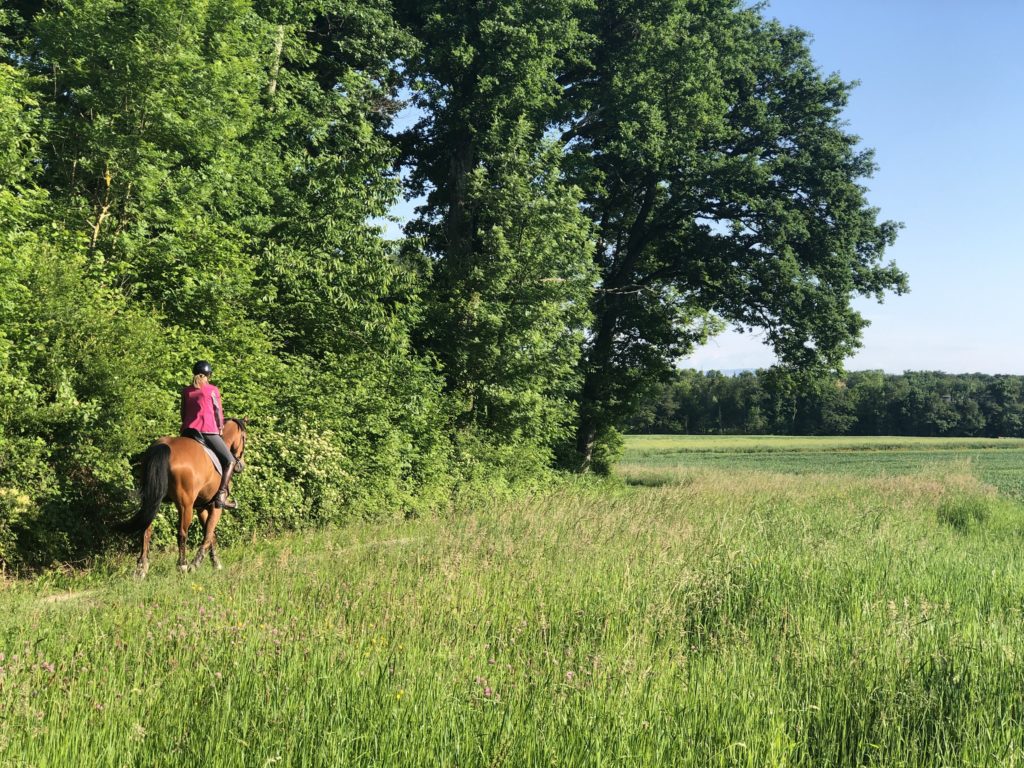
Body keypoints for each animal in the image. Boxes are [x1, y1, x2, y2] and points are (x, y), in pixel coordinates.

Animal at [118, 421, 246, 577]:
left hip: (152, 499)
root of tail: (164, 446)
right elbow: (209, 534)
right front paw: (196, 564)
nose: (241, 465)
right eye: (244, 438)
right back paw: (183, 565)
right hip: (185, 506)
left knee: (146, 529)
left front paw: (215, 563)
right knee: (182, 533)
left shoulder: (202, 507)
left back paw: (142, 568)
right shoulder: (215, 507)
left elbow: (210, 535)